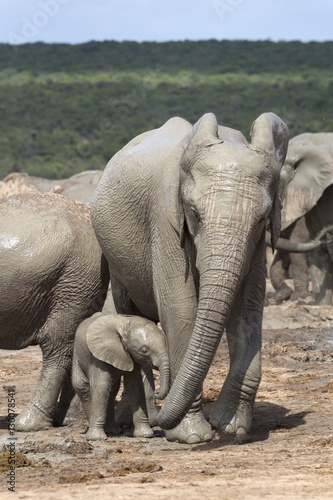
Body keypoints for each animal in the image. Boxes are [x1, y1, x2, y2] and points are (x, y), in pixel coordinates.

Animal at [72, 312, 169, 442]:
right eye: (144, 350)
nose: (156, 392)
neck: (125, 325)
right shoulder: (98, 355)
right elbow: (101, 386)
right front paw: (96, 438)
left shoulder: (131, 356)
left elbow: (135, 386)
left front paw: (145, 435)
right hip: (77, 355)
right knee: (83, 386)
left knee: (112, 391)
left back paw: (114, 431)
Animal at [91, 111, 288, 444]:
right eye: (194, 213)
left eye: (262, 218)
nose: (163, 402)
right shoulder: (165, 218)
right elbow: (181, 309)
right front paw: (193, 437)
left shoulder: (258, 243)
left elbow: (247, 311)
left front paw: (231, 427)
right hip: (115, 260)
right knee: (129, 311)